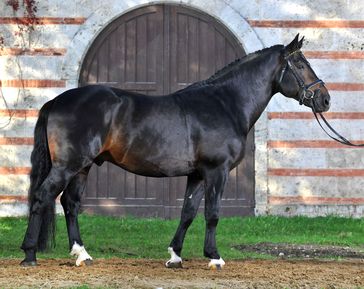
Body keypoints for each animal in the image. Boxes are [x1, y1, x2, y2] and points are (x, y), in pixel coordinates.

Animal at [21, 34, 332, 268]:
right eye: (300, 64)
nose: (325, 99)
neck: (224, 103)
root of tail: (56, 101)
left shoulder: (197, 174)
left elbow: (188, 212)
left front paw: (175, 256)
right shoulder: (216, 171)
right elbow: (212, 213)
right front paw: (214, 257)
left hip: (83, 166)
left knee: (70, 203)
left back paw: (82, 254)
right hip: (68, 165)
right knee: (42, 197)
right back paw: (30, 254)